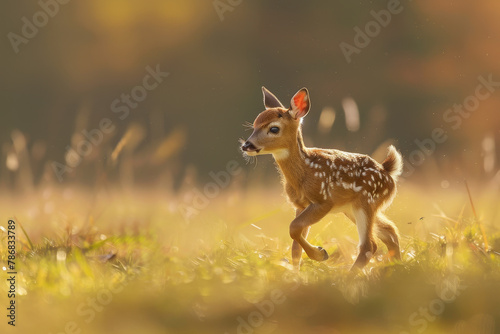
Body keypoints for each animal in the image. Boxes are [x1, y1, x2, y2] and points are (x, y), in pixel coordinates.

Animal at [242, 87, 402, 270]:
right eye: (254, 125)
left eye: (274, 129)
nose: (246, 145)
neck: (304, 172)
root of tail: (388, 172)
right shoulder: (300, 204)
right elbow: (295, 245)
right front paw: (296, 271)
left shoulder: (323, 201)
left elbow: (293, 228)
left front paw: (320, 254)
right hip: (352, 208)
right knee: (390, 232)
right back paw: (398, 268)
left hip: (366, 202)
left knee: (369, 245)